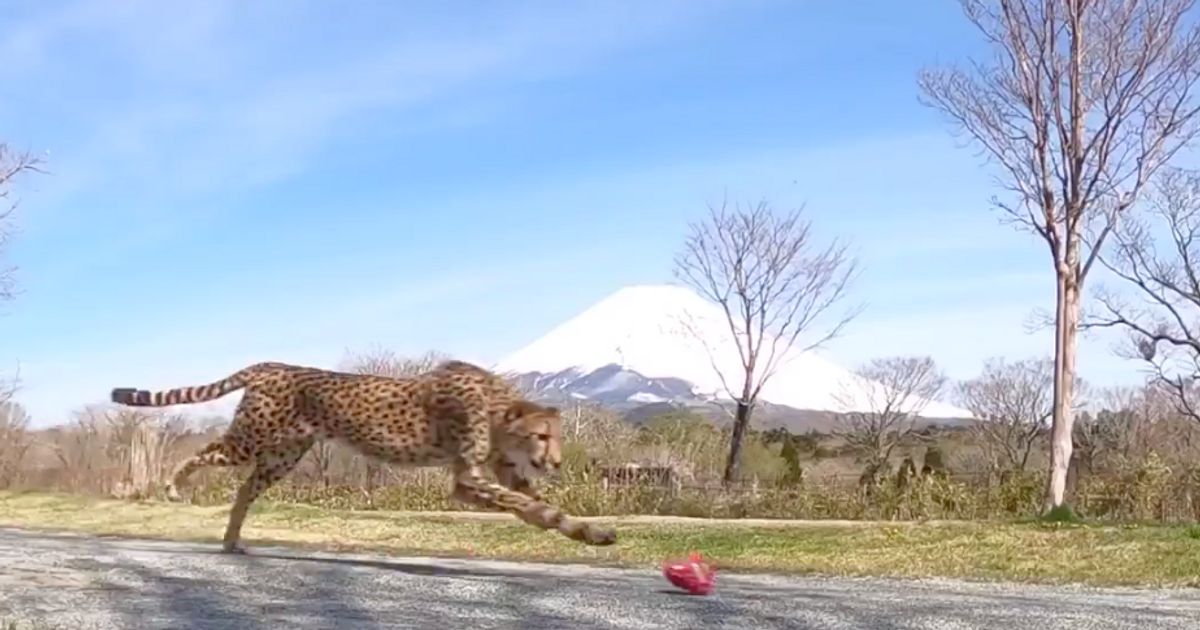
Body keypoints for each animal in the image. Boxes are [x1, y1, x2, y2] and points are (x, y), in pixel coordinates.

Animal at [109, 357, 619, 549]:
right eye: (542, 436)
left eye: (555, 436)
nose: (557, 461)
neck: (496, 409)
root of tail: (268, 364)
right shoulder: (468, 478)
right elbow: (525, 503)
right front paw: (581, 530)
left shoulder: (497, 470)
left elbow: (535, 503)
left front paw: (586, 530)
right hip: (252, 439)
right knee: (202, 452)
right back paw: (173, 485)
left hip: (283, 456)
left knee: (244, 488)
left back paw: (233, 541)